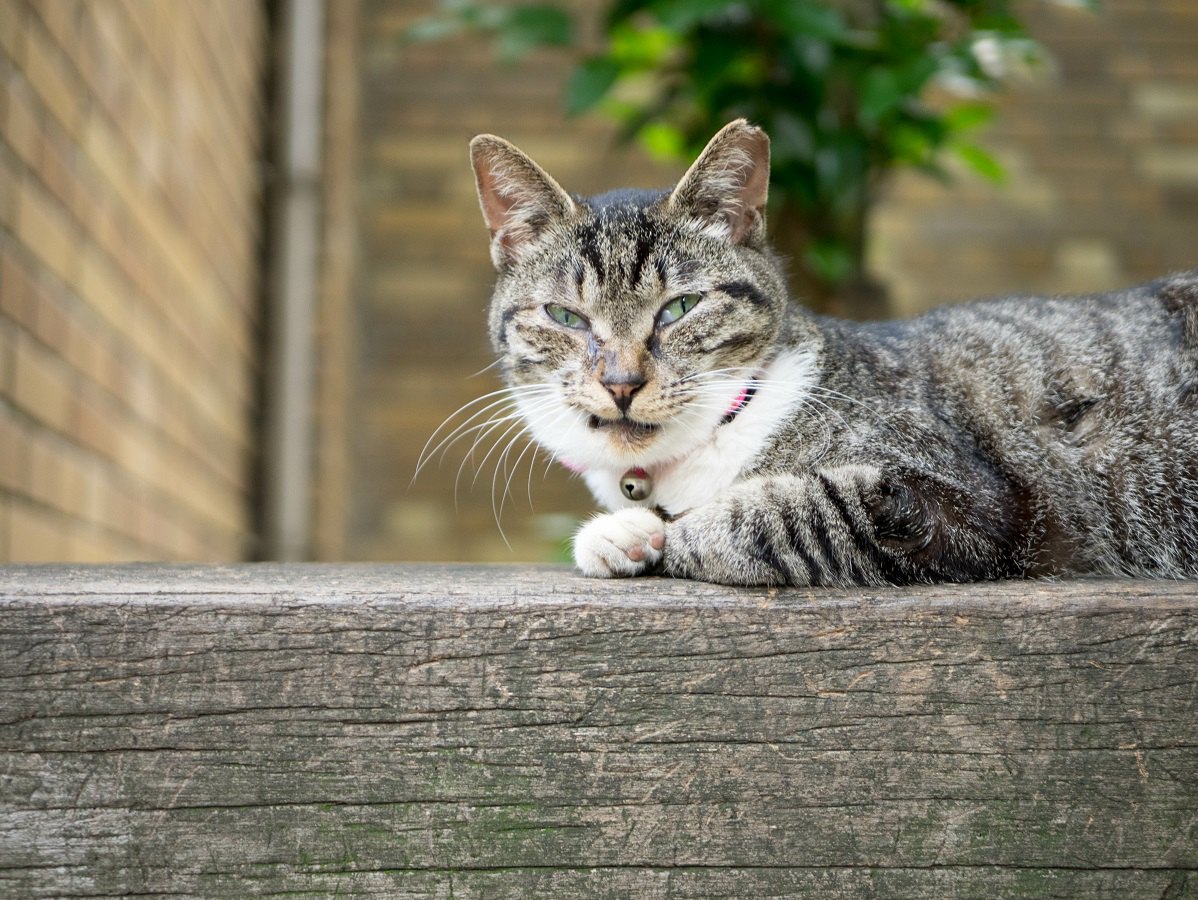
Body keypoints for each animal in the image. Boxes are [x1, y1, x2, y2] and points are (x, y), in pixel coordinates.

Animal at [460, 118, 1198, 584]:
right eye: (565, 316)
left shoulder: (958, 503)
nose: (620, 382)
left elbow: (773, 516)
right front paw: (623, 532)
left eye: (679, 309)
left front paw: (643, 533)